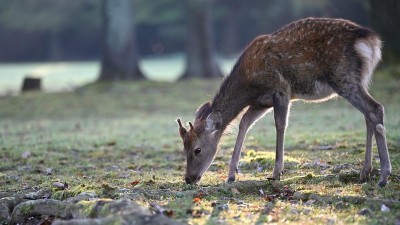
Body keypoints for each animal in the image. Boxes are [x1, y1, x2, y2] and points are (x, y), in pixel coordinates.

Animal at [177, 17, 392, 187]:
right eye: (183, 148)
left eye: (197, 150)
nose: (189, 178)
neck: (248, 84)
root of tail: (371, 40)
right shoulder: (261, 102)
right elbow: (244, 123)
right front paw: (231, 174)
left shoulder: (280, 88)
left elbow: (280, 125)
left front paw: (276, 173)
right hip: (360, 79)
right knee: (368, 115)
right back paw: (365, 172)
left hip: (343, 76)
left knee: (375, 108)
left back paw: (383, 175)